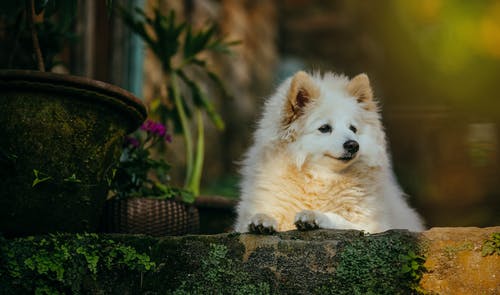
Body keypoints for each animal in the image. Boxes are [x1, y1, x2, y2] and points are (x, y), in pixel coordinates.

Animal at [236, 71, 424, 234]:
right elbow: (253, 220)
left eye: (353, 129)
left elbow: (340, 220)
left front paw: (314, 215)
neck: (321, 178)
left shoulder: (371, 226)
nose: (353, 145)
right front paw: (261, 219)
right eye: (325, 128)